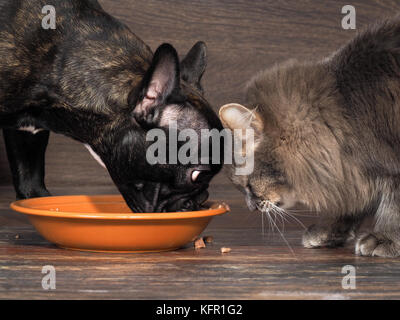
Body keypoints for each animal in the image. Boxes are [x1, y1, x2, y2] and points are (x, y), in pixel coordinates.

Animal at [219, 17, 400, 258]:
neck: (343, 109)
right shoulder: (355, 170)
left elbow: (393, 205)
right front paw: (328, 231)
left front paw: (385, 238)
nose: (251, 206)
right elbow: (353, 202)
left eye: (247, 185)